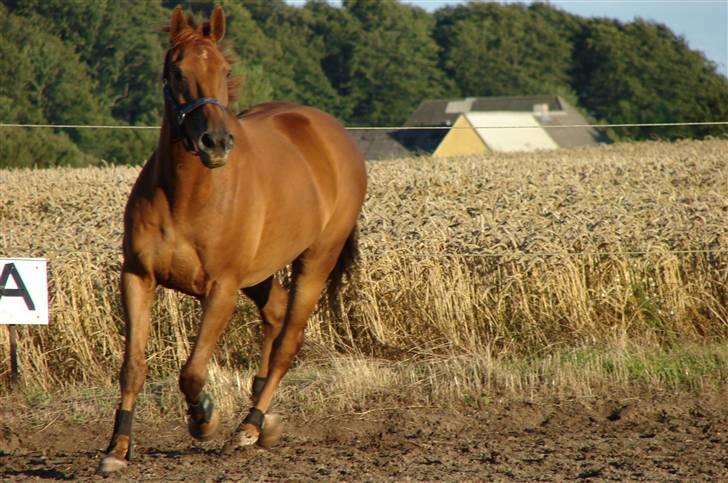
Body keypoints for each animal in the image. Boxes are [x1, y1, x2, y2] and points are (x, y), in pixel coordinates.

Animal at [99, 4, 366, 476]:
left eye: (224, 69)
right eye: (177, 70)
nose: (216, 143)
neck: (187, 195)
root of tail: (332, 133)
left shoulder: (221, 289)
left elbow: (192, 371)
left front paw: (204, 417)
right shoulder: (137, 278)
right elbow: (132, 366)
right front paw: (117, 449)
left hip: (315, 261)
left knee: (288, 341)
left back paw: (249, 426)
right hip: (259, 274)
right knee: (275, 314)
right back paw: (264, 417)